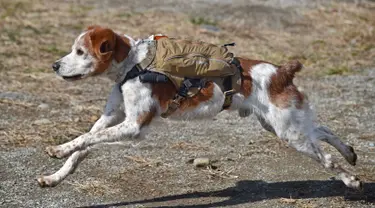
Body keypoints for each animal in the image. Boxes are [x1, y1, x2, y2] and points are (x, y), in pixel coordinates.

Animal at [37, 25, 362, 189]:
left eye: (80, 52)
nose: (53, 65)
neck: (133, 66)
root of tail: (281, 72)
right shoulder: (112, 118)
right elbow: (84, 144)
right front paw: (56, 176)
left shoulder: (134, 126)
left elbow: (86, 139)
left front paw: (58, 150)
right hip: (280, 125)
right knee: (323, 130)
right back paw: (350, 153)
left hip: (288, 132)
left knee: (325, 156)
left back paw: (350, 178)